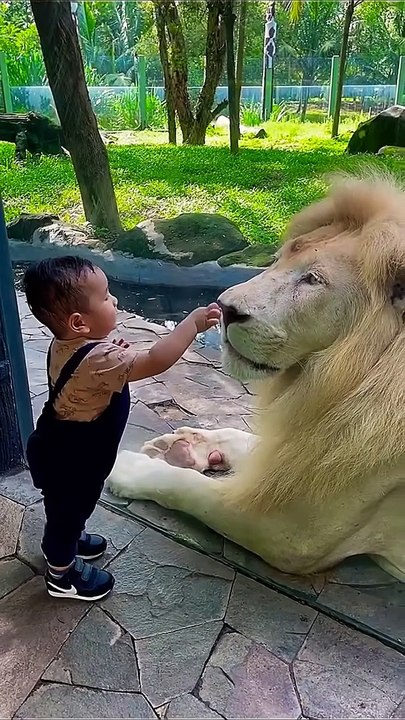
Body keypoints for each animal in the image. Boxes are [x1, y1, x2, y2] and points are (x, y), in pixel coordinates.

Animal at [107, 175, 405, 582]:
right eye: (278, 259)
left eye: (312, 280)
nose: (224, 308)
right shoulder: (306, 446)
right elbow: (248, 441)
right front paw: (187, 445)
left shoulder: (289, 533)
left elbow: (189, 488)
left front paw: (131, 468)